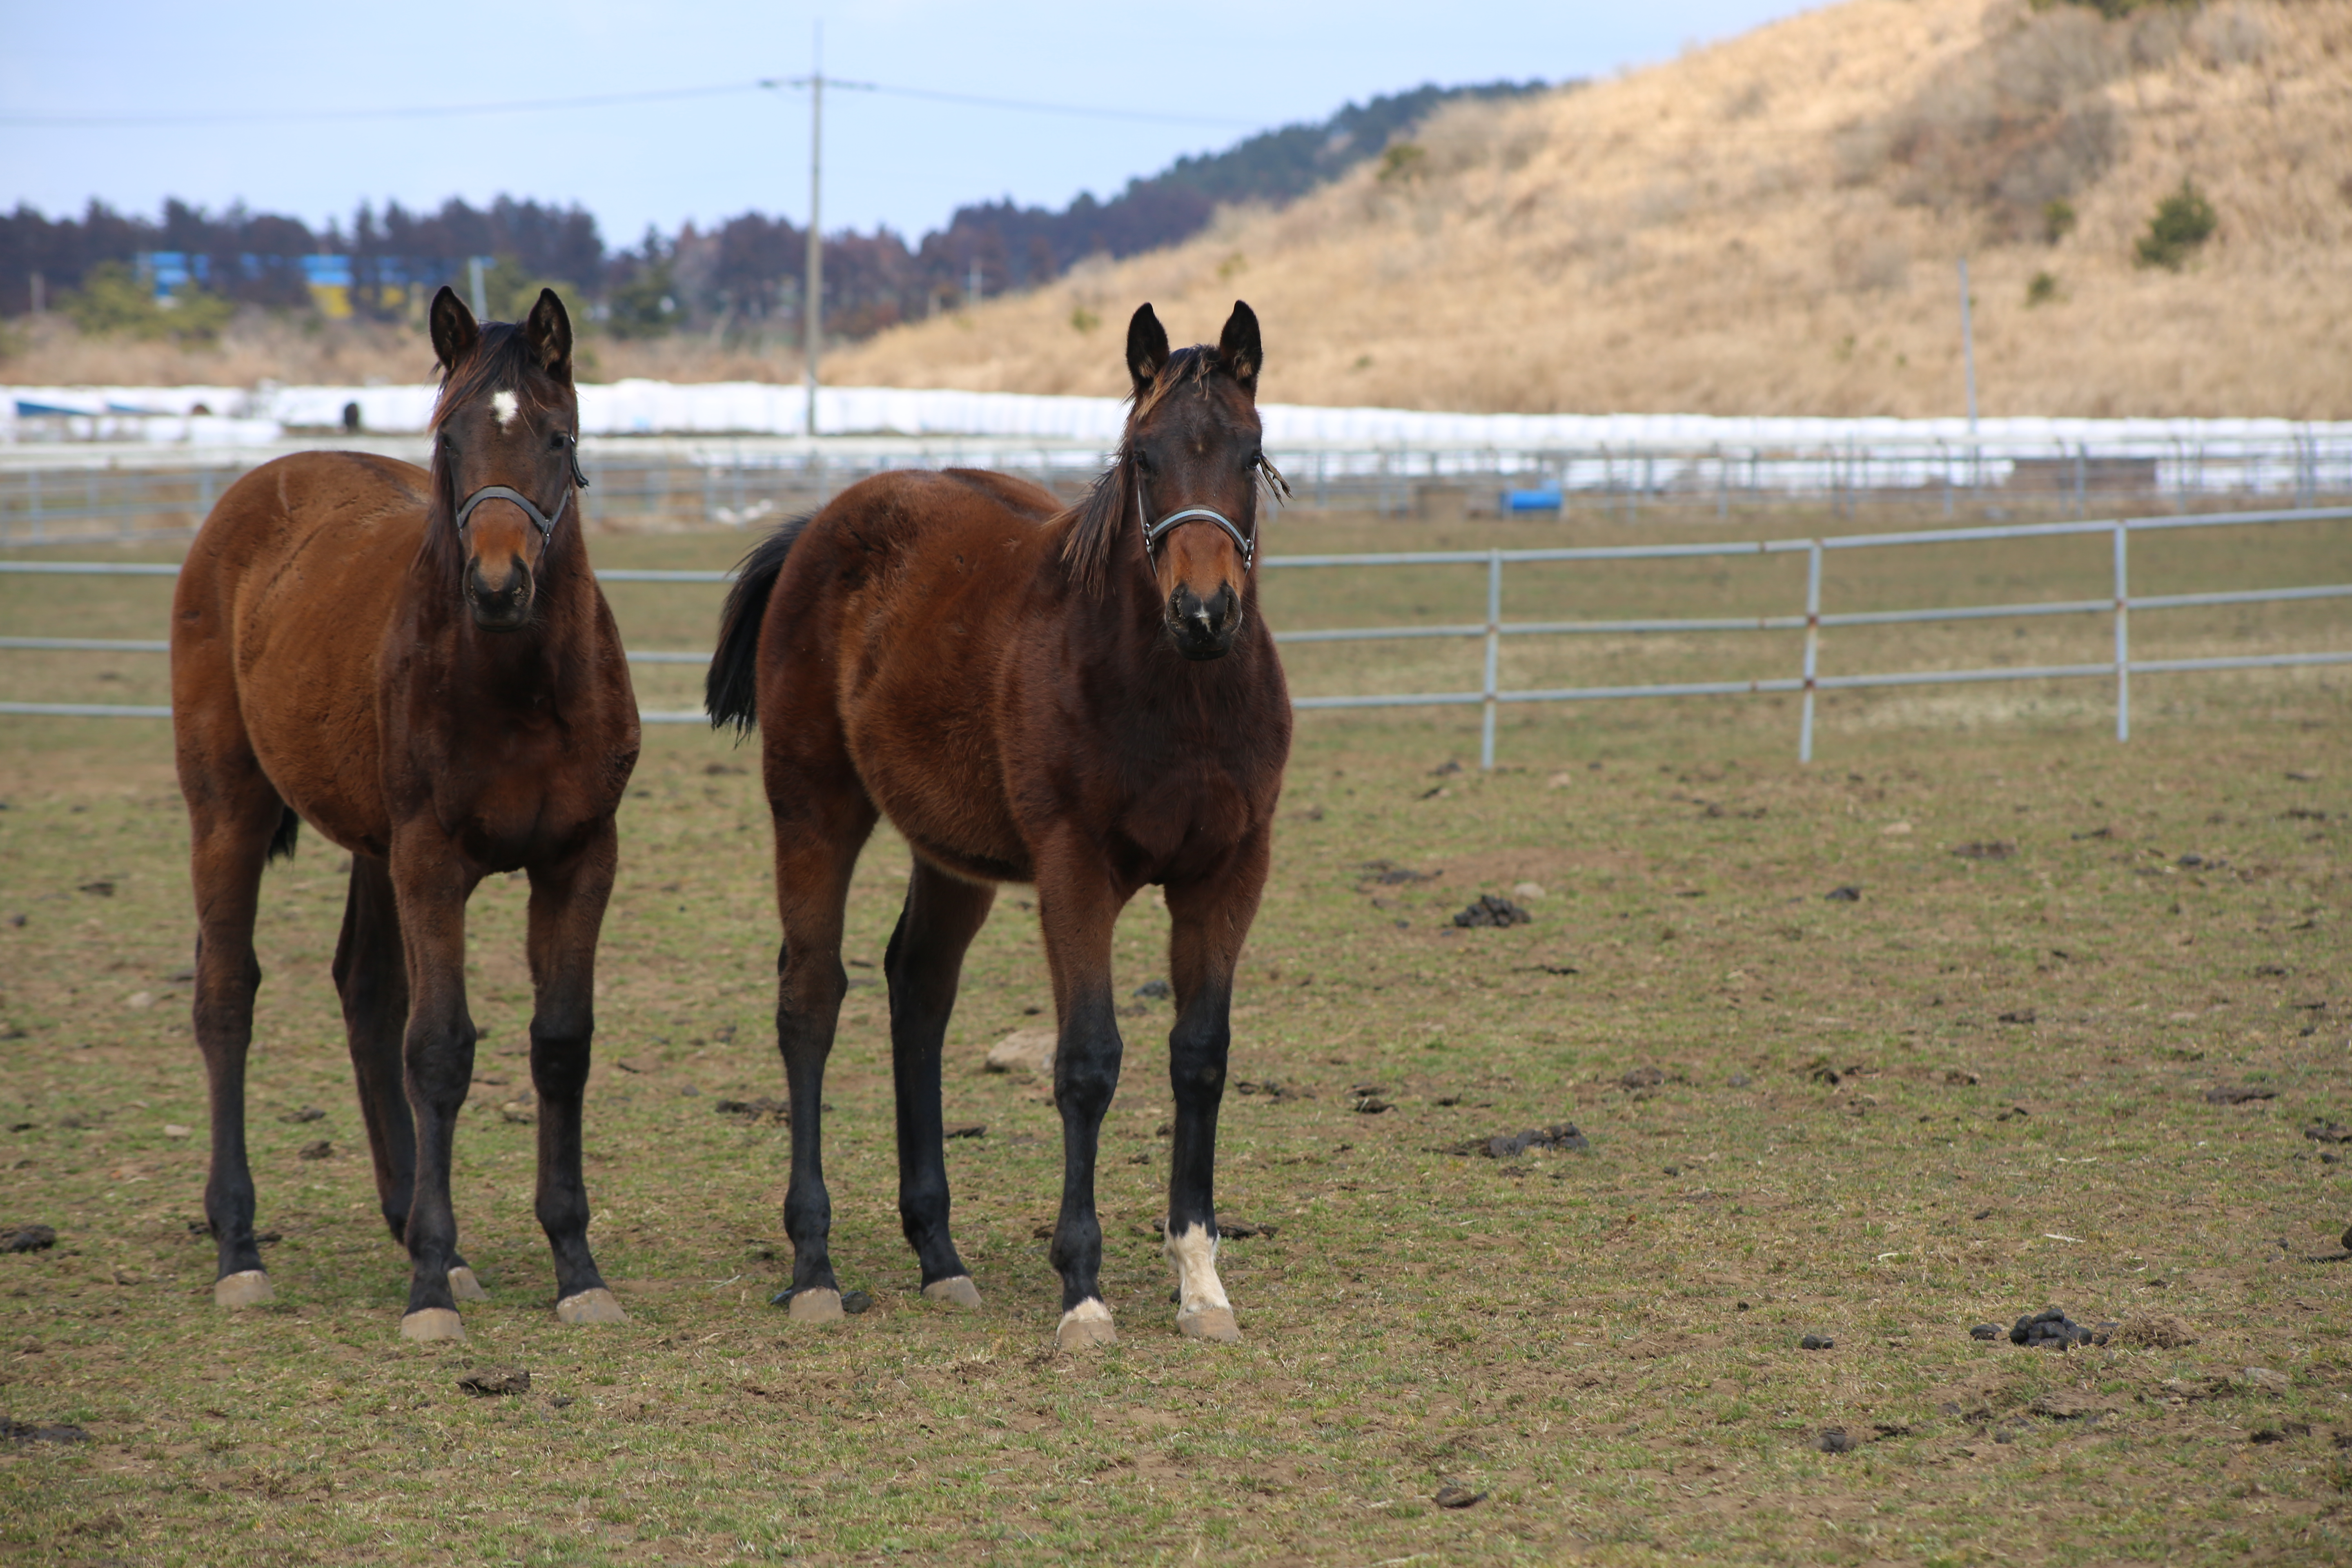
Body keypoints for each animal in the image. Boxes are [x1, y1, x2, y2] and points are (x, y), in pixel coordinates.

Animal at [170, 288, 639, 1345]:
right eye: (449, 437)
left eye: (557, 436)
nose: (499, 586)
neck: (520, 689)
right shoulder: (433, 861)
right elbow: (440, 1048)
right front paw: (429, 1285)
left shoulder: (580, 858)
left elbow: (561, 1043)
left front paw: (575, 1265)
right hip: (228, 809)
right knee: (228, 996)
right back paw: (240, 1248)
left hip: (371, 846)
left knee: (365, 992)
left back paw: (419, 1230)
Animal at [706, 303, 1298, 1354]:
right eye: (1142, 456)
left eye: (1251, 449)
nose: (1203, 613)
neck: (1180, 700)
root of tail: (822, 525)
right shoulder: (1075, 871)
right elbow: (1088, 1062)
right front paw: (1083, 1294)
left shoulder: (1229, 871)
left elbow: (1200, 1056)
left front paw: (1200, 1283)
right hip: (813, 807)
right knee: (810, 998)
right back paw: (815, 1264)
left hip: (952, 852)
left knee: (918, 987)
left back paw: (939, 1254)